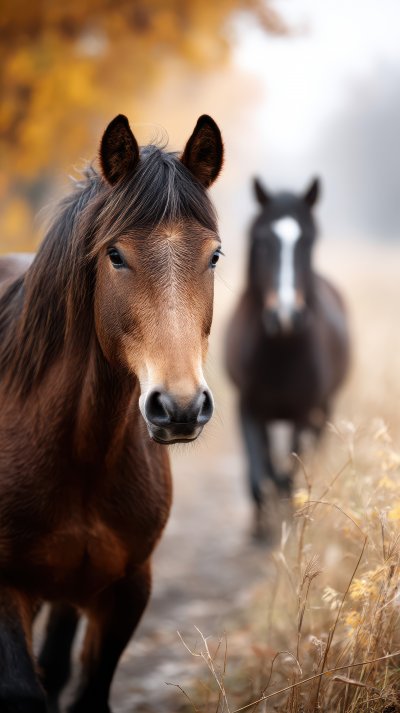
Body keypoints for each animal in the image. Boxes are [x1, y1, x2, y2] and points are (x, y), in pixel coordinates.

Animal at [0, 113, 224, 712]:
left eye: (214, 255)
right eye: (115, 255)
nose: (180, 406)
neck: (81, 452)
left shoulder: (125, 590)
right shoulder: (6, 590)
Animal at [225, 177, 350, 539]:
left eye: (307, 241)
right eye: (262, 241)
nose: (285, 315)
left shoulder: (304, 411)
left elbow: (289, 473)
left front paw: (289, 518)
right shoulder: (248, 408)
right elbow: (258, 474)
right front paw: (260, 527)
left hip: (324, 408)